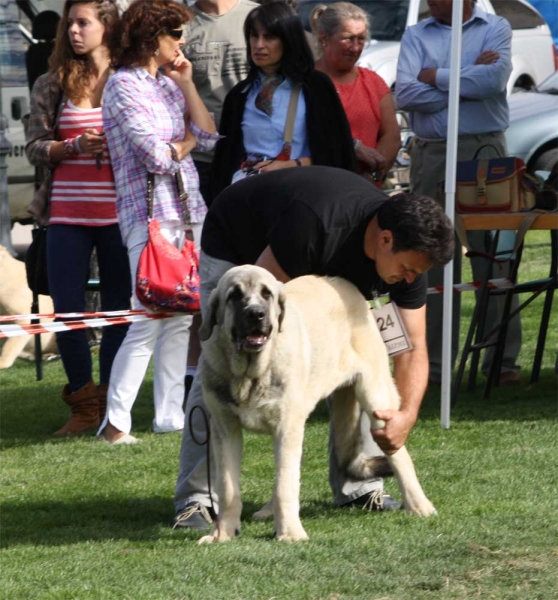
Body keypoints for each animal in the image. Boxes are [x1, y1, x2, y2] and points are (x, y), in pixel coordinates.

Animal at [197, 264, 438, 544]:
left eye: (266, 294)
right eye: (234, 295)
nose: (256, 314)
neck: (250, 374)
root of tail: (345, 285)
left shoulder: (287, 428)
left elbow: (285, 485)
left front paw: (290, 533)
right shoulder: (225, 429)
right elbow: (228, 488)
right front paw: (222, 534)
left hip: (376, 398)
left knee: (399, 455)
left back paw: (419, 504)